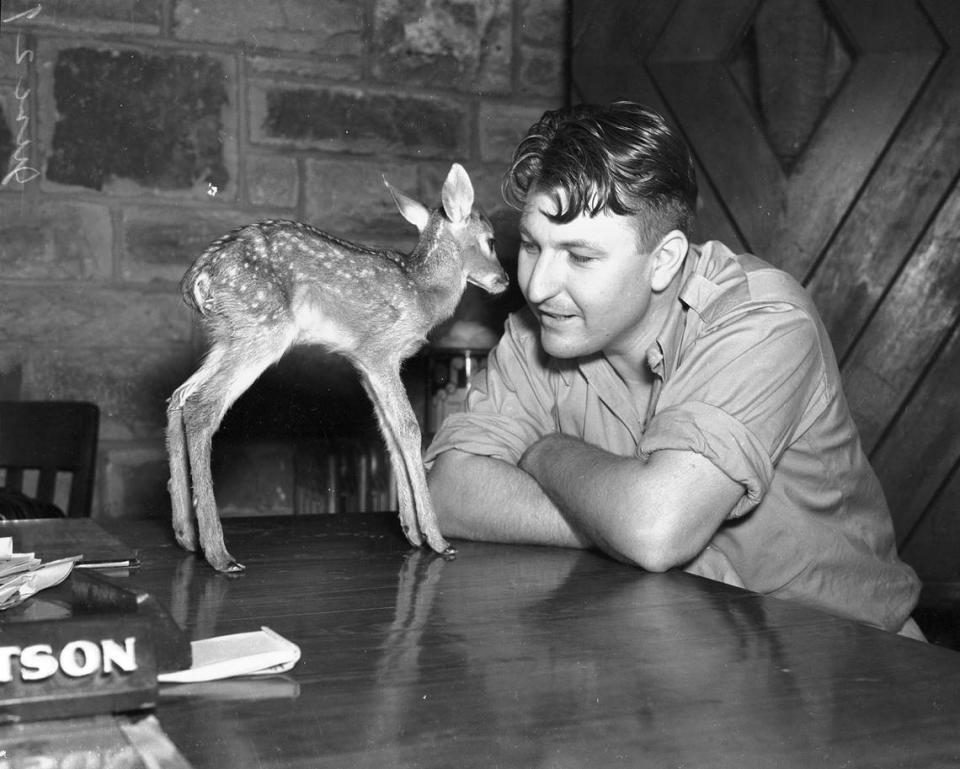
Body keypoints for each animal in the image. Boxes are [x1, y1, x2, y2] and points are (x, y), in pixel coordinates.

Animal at [167, 164, 510, 568]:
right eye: (491, 241)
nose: (504, 280)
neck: (424, 292)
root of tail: (197, 278)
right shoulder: (380, 351)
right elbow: (409, 428)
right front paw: (437, 539)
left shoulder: (362, 363)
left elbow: (389, 432)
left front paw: (411, 532)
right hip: (263, 329)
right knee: (202, 406)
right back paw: (219, 554)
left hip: (228, 336)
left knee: (178, 397)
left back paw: (185, 535)